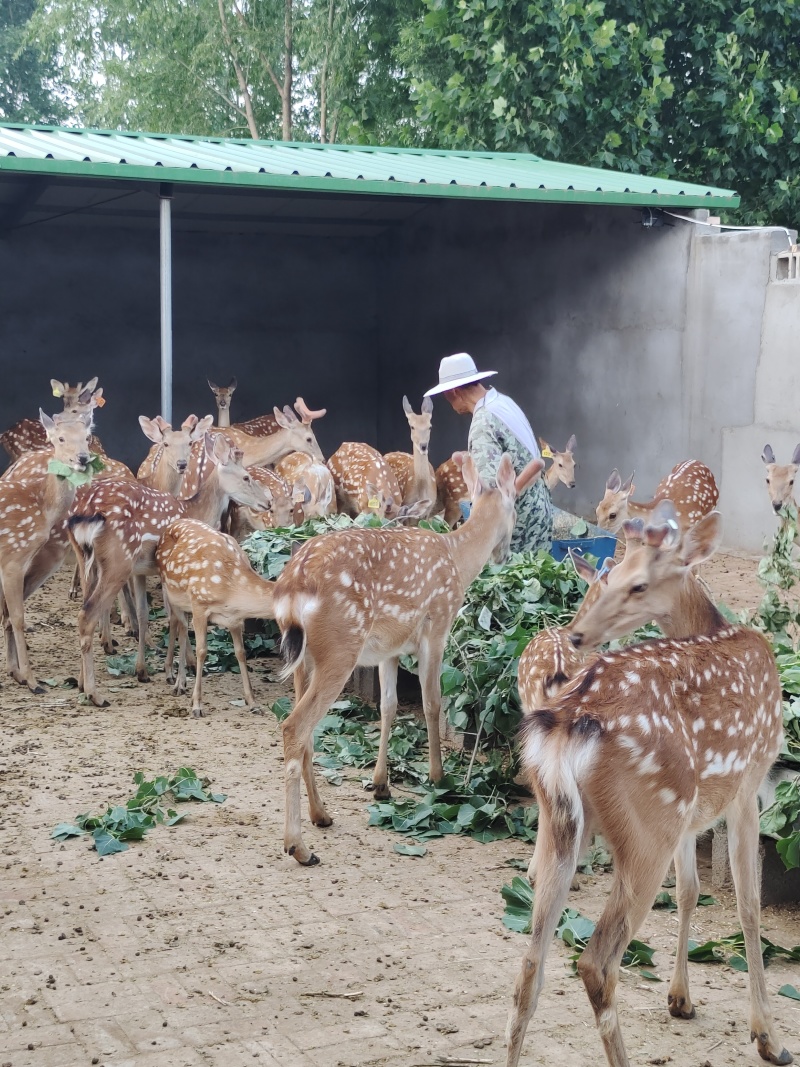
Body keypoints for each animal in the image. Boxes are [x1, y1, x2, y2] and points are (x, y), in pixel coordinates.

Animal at [0, 412, 93, 692]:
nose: (82, 458)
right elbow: (18, 617)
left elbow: (9, 614)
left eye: (87, 437)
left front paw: (16, 673)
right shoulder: (12, 557)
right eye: (60, 438)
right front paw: (31, 681)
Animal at [156, 518, 275, 716]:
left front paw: (253, 702)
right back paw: (178, 683)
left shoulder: (235, 619)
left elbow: (241, 652)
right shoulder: (199, 605)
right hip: (172, 591)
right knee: (180, 626)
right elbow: (202, 651)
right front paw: (197, 705)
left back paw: (176, 679)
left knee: (177, 624)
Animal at [273, 452, 545, 866]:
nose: (505, 554)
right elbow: (431, 703)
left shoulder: (389, 648)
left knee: (306, 733)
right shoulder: (436, 627)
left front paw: (380, 784)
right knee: (294, 726)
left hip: (305, 659)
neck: (458, 561)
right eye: (515, 507)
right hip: (340, 647)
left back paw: (322, 815)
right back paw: (299, 847)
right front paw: (438, 776)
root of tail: (292, 587)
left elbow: (389, 705)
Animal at [506, 500, 792, 1067]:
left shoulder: (692, 811)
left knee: (529, 964)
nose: (578, 634)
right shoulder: (746, 784)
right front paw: (768, 1037)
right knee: (596, 961)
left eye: (637, 584)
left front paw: (680, 999)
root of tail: (569, 723)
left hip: (567, 822)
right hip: (647, 828)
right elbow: (748, 907)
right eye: (613, 575)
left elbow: (690, 890)